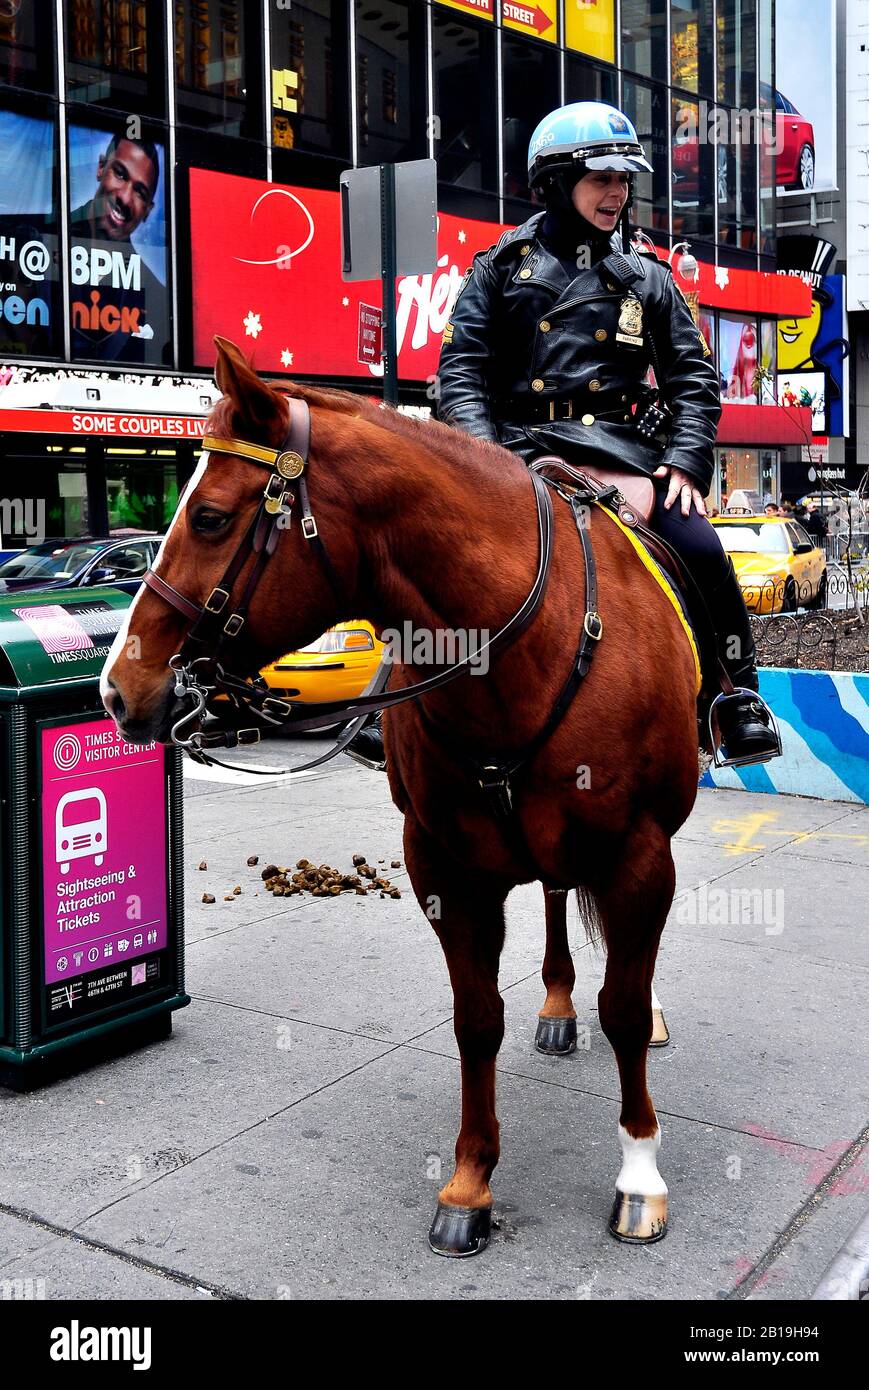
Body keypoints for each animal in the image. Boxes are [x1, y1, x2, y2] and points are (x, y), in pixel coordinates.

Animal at [103, 339, 697, 1262]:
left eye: (208, 519)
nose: (115, 689)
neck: (518, 651)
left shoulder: (637, 855)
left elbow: (627, 1012)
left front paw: (638, 1173)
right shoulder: (444, 864)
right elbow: (476, 1019)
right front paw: (470, 1179)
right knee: (557, 899)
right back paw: (557, 1002)